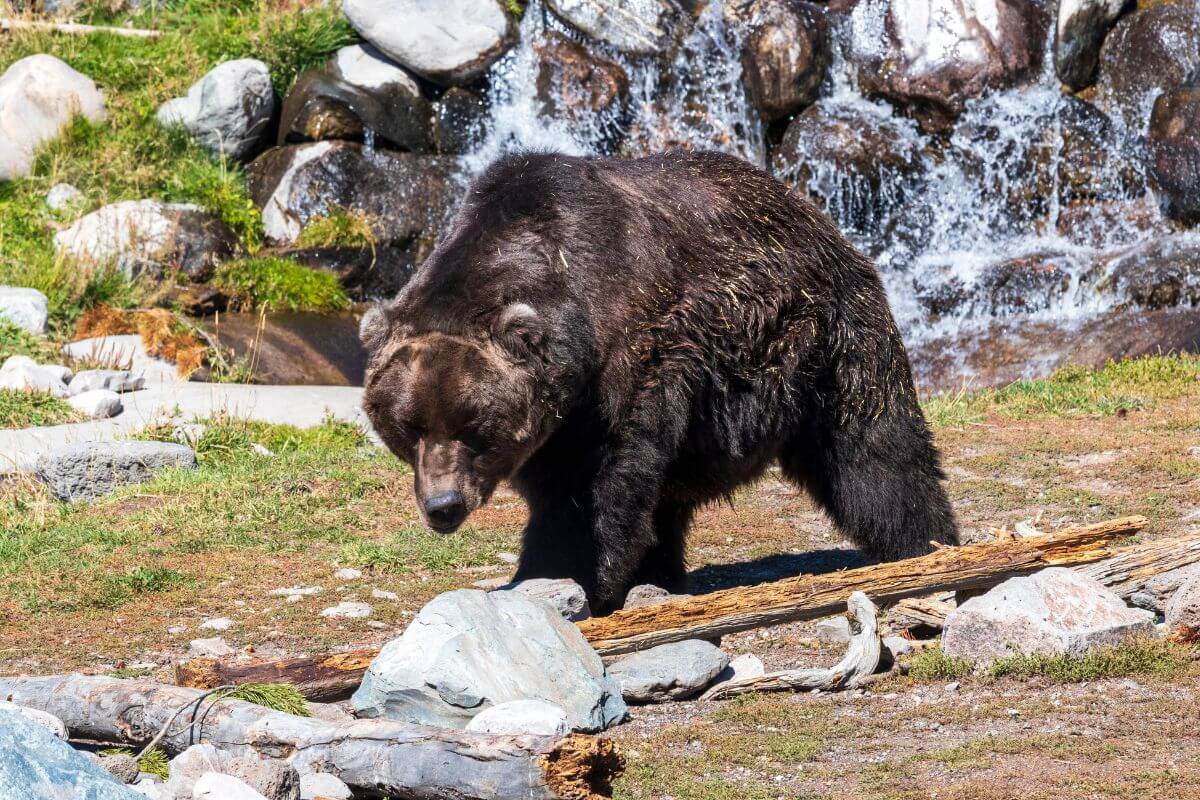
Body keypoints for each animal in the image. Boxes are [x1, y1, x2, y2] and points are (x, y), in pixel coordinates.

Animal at [359, 149, 958, 612]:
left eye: (474, 426)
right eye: (408, 427)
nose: (443, 505)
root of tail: (812, 209)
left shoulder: (623, 366)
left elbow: (594, 493)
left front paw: (578, 579)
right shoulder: (559, 419)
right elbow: (564, 490)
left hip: (827, 338)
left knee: (874, 450)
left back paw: (925, 543)